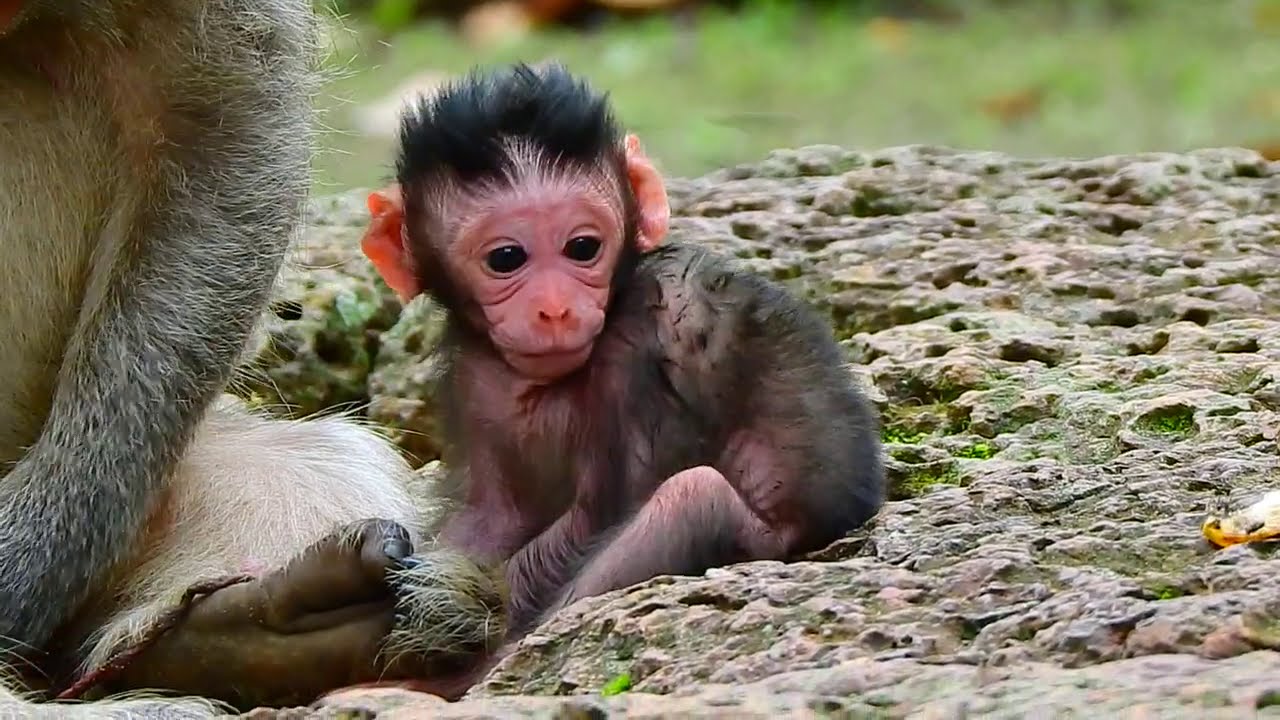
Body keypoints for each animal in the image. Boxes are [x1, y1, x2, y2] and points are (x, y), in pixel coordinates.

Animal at [349, 61, 886, 700]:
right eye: (506, 258)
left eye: (583, 247)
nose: (555, 310)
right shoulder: (473, 377)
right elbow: (495, 516)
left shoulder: (645, 339)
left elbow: (599, 513)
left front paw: (449, 619)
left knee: (689, 500)